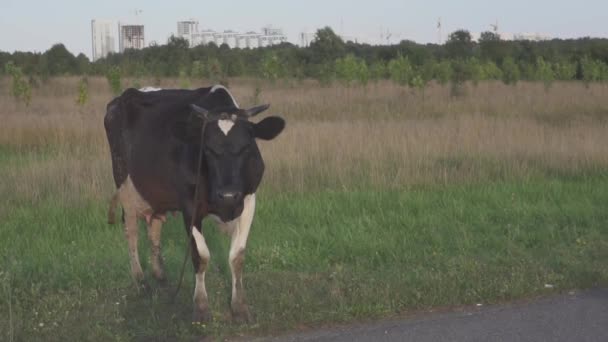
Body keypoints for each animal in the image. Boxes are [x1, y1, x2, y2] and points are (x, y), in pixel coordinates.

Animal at [104, 84, 284, 322]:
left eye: (246, 147)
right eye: (207, 149)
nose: (228, 195)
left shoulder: (249, 200)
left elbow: (237, 256)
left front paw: (240, 307)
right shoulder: (190, 205)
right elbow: (201, 255)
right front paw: (201, 307)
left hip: (156, 193)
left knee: (154, 227)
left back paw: (160, 275)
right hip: (125, 185)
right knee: (131, 231)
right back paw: (141, 282)